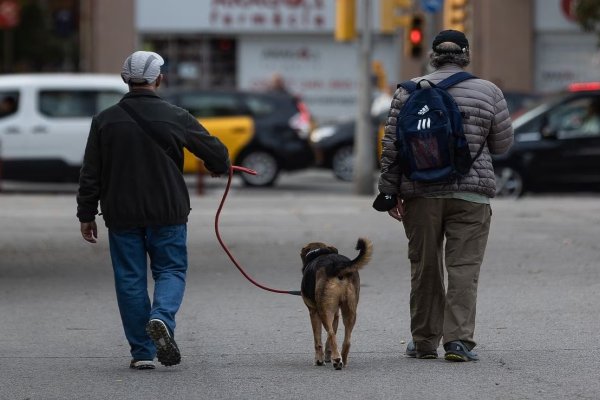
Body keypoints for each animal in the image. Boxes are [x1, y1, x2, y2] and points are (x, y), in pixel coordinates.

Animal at [298, 236, 370, 370]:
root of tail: (336, 265)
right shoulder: (336, 314)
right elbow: (329, 339)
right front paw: (327, 356)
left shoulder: (313, 312)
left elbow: (318, 340)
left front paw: (319, 360)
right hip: (350, 311)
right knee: (346, 339)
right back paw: (342, 360)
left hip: (324, 311)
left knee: (331, 333)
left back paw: (336, 360)